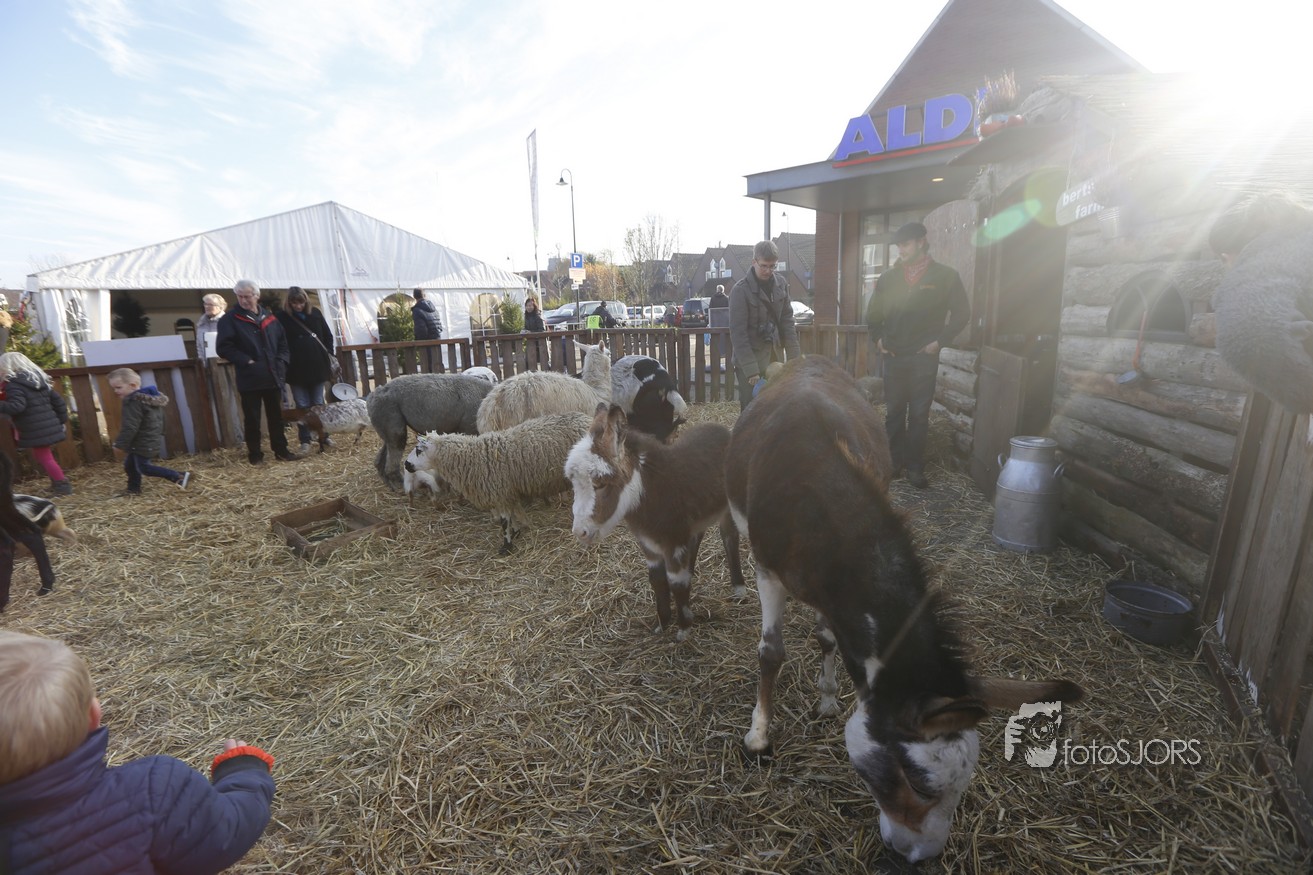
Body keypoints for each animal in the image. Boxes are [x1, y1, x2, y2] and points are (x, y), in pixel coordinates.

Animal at [367, 373, 495, 489]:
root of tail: (373, 395)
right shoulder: (469, 428)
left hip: (385, 412)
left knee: (389, 442)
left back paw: (389, 485)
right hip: (388, 408)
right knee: (397, 442)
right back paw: (400, 486)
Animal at [405, 412, 593, 554]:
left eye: (418, 450)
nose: (406, 464)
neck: (471, 458)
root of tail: (588, 419)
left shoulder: (499, 491)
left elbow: (504, 521)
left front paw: (506, 546)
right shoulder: (508, 492)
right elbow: (513, 515)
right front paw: (516, 531)